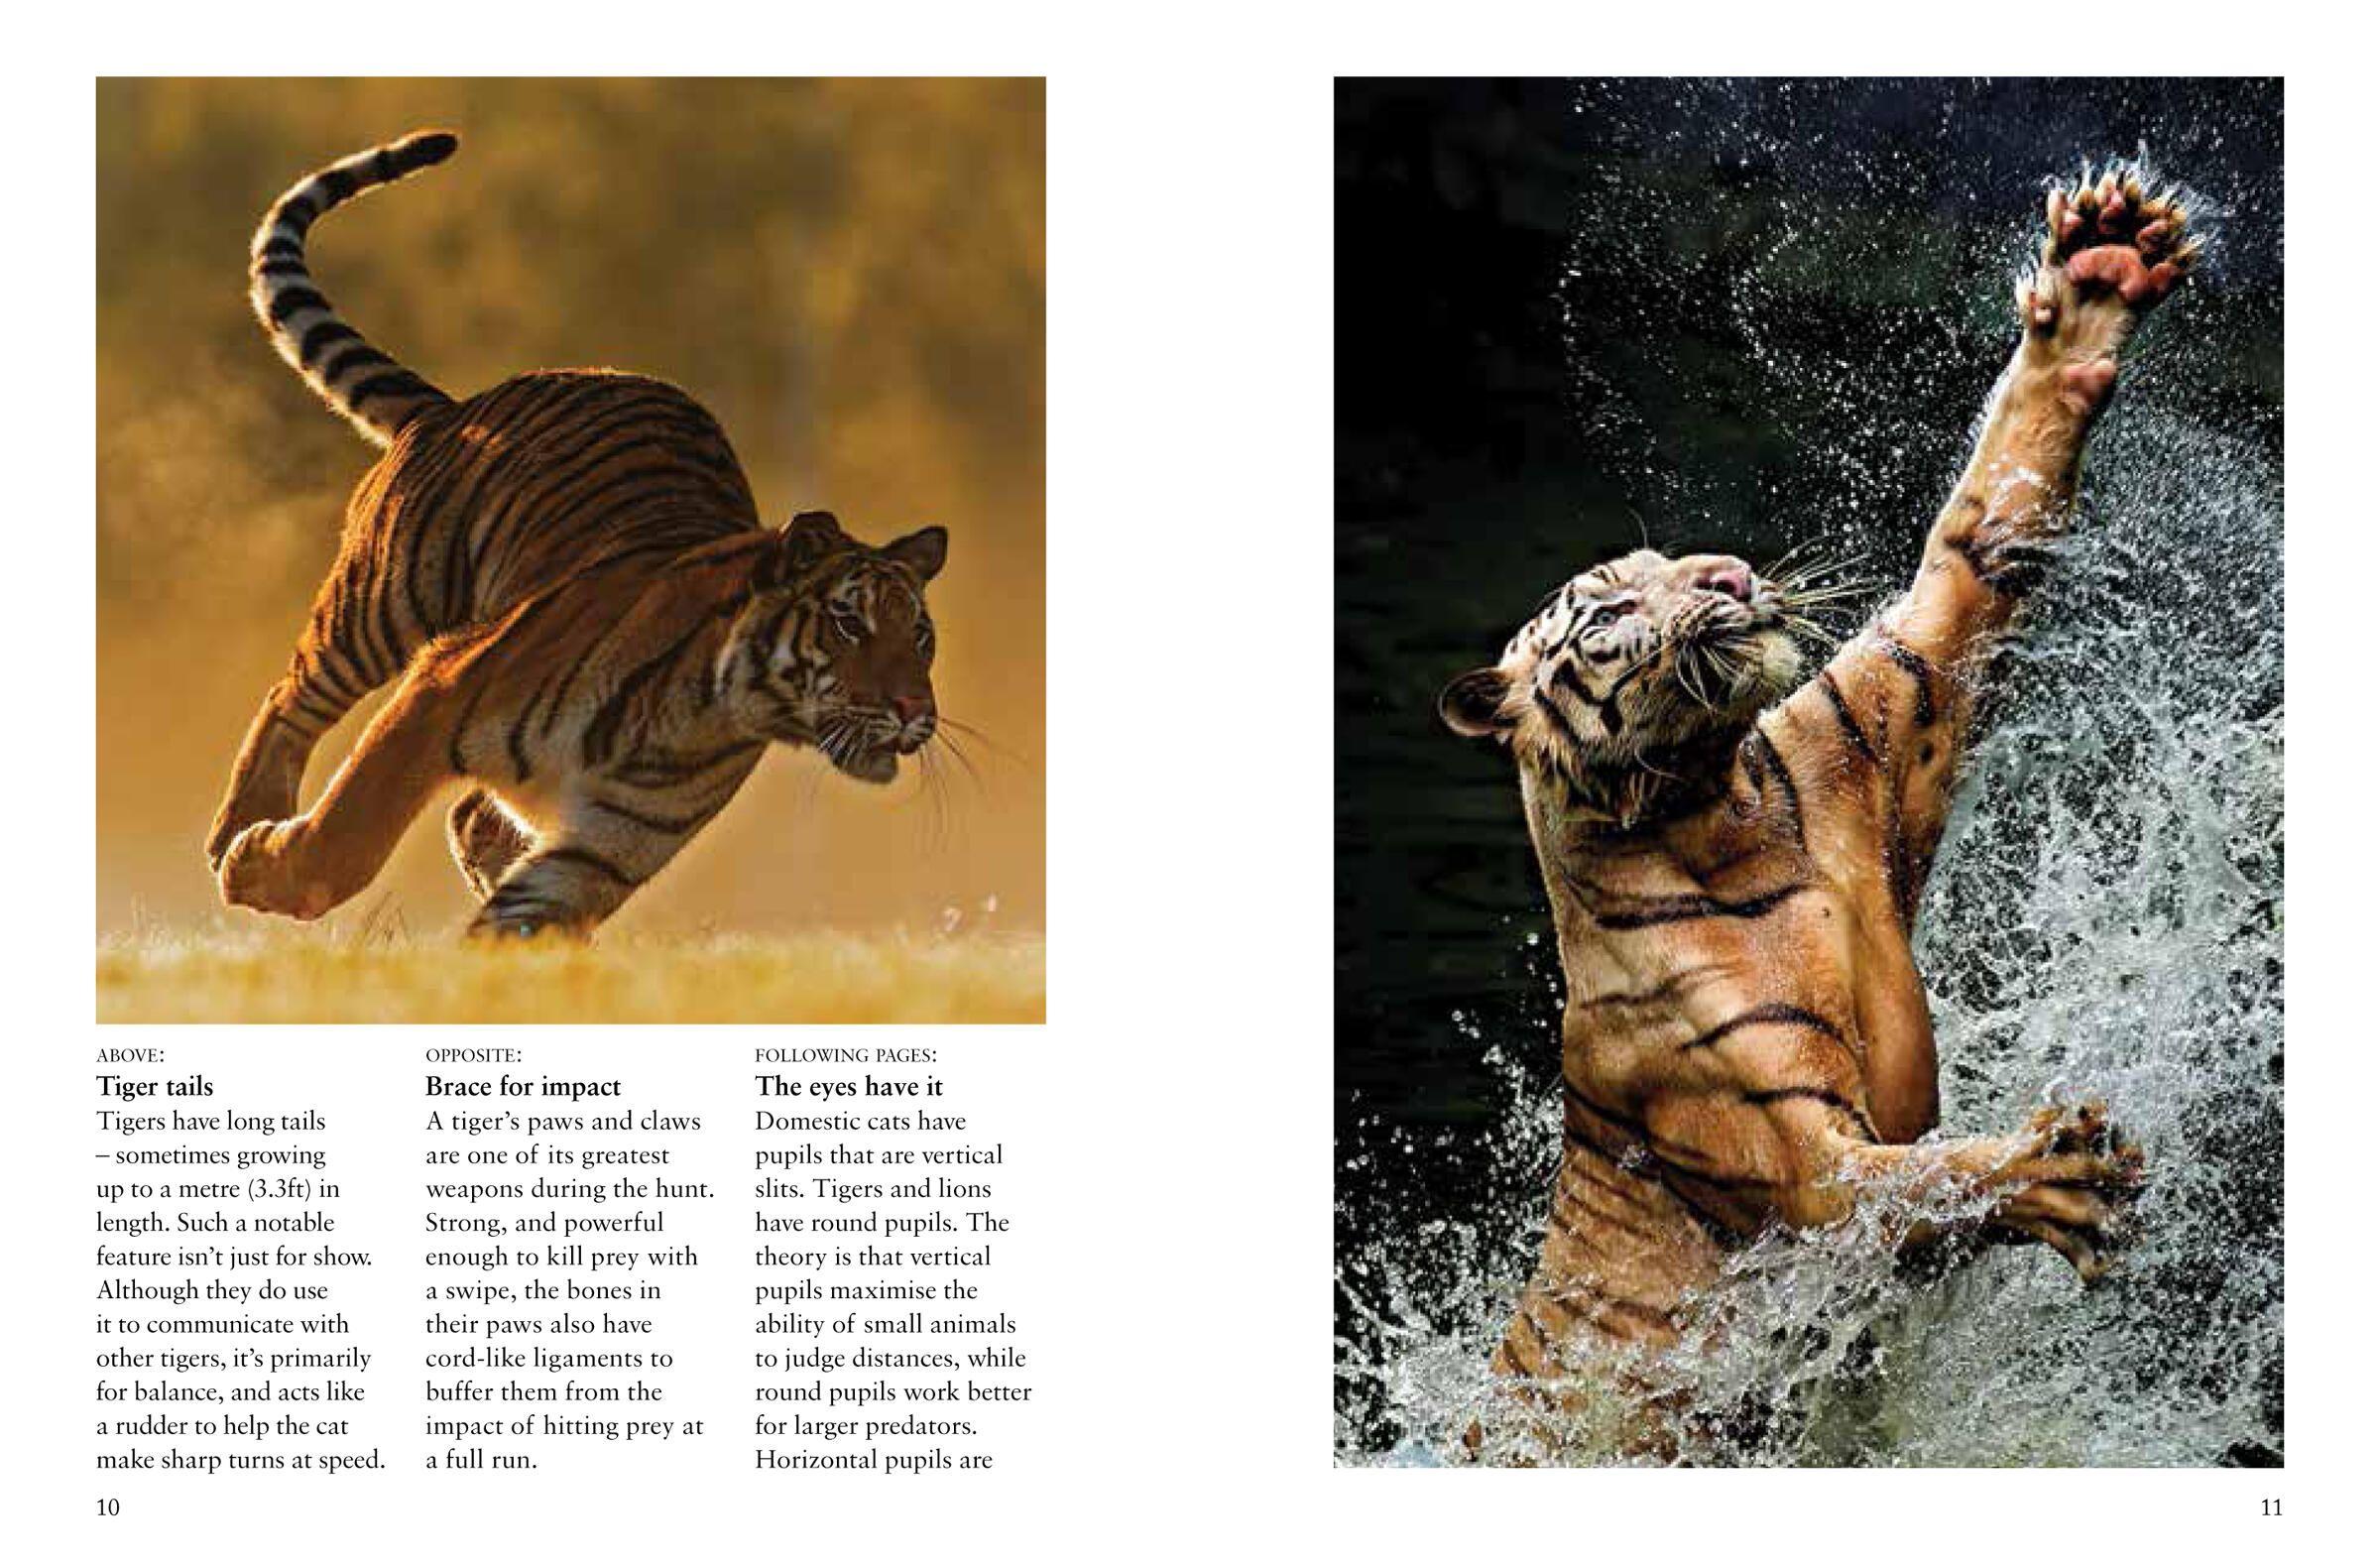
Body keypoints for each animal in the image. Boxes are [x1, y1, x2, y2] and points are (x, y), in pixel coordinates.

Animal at [204, 130, 948, 940]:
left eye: (921, 637)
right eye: (849, 623)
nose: (915, 711)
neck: (707, 711)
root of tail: (455, 405)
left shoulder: (610, 843)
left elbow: (525, 918)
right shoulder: (439, 687)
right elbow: (352, 832)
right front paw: (258, 868)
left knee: (470, 814)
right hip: (380, 604)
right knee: (290, 696)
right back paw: (237, 827)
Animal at [1436, 166, 2198, 1456]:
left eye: (1671, 562)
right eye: (1610, 609)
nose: (1730, 575)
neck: (1720, 806)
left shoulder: (1884, 709)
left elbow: (1980, 532)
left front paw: (2097, 276)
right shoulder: (1798, 1158)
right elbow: (1910, 1181)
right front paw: (2057, 1173)